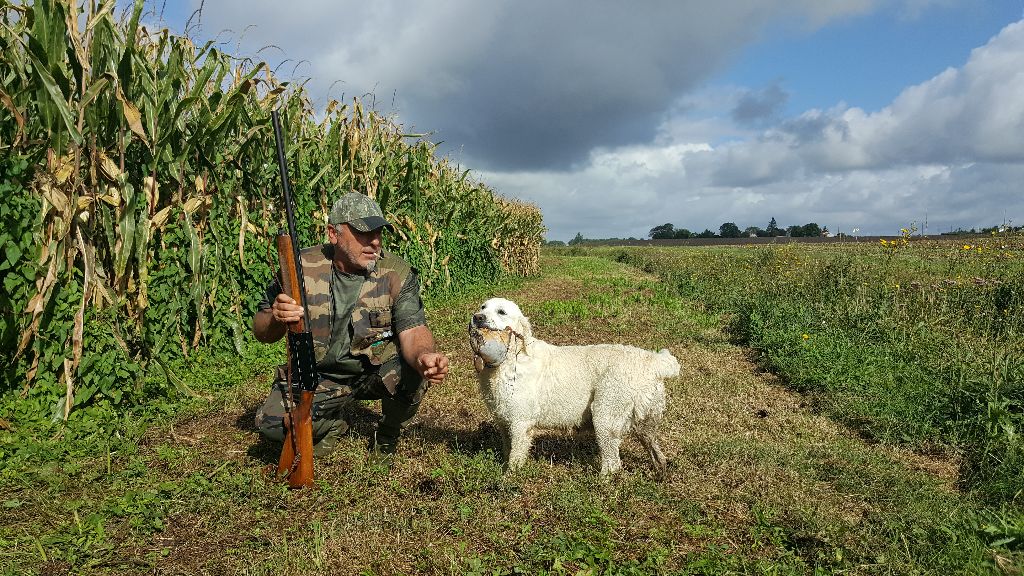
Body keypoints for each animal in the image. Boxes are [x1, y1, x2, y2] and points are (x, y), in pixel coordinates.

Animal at [466, 297, 675, 473]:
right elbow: (507, 448)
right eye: (483, 307)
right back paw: (660, 470)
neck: (512, 358)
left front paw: (509, 478)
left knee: (613, 463)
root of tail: (652, 360)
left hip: (604, 416)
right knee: (655, 451)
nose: (477, 317)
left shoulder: (520, 423)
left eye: (501, 312)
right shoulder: (504, 421)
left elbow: (515, 458)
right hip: (645, 423)